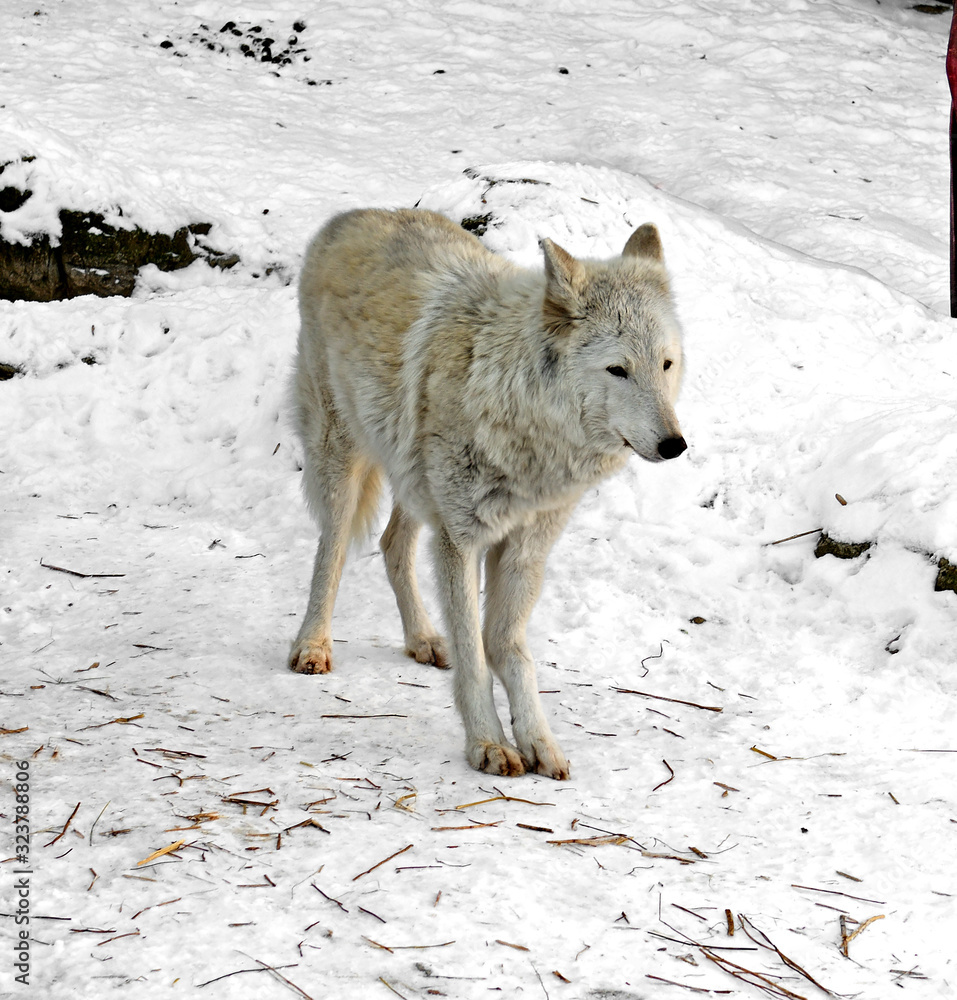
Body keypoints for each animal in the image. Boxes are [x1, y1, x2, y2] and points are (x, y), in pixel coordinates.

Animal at [289, 207, 686, 779]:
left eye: (666, 364)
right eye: (618, 369)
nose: (675, 444)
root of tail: (350, 215)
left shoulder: (525, 546)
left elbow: (506, 646)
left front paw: (539, 741)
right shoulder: (463, 538)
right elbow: (476, 659)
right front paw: (489, 744)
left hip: (414, 485)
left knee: (391, 546)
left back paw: (424, 639)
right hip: (342, 457)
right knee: (333, 550)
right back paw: (312, 646)